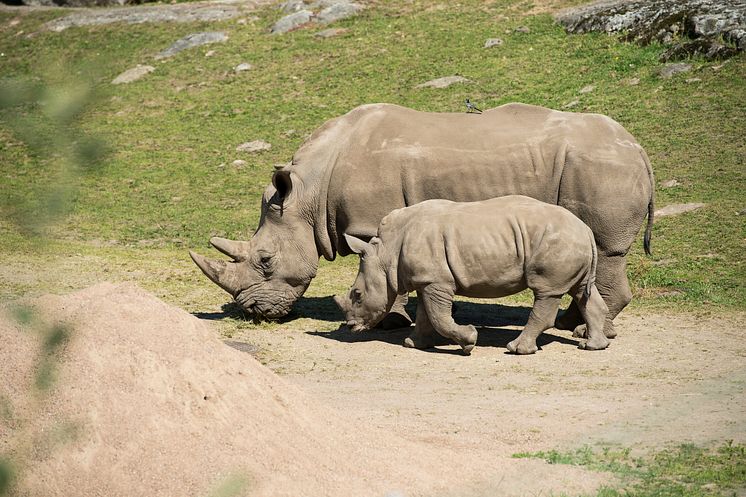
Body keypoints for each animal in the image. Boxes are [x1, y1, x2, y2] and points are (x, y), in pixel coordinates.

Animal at [334, 194, 608, 352]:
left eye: (357, 294)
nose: (351, 326)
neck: (385, 253)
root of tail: (585, 229)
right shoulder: (428, 280)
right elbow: (426, 315)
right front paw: (414, 344)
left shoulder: (437, 282)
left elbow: (439, 317)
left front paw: (469, 341)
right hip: (571, 243)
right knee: (581, 291)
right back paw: (592, 346)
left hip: (557, 243)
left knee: (547, 292)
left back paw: (516, 349)